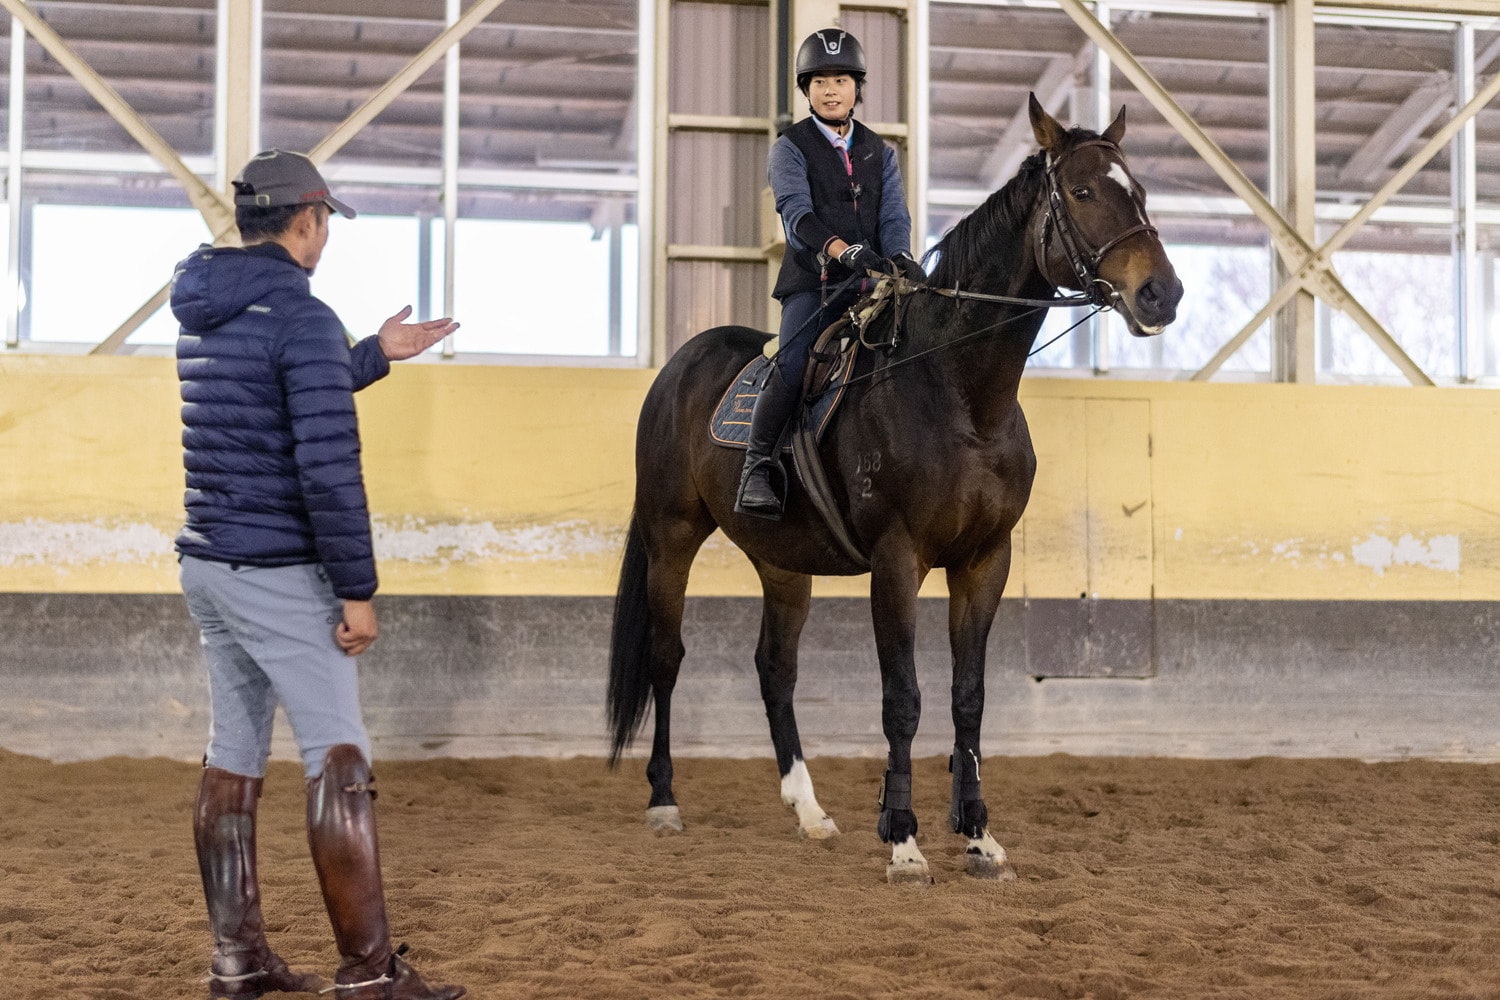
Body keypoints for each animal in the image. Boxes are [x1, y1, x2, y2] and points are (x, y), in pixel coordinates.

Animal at [606, 95, 1183, 883]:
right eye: (1084, 191)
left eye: (1142, 191)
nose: (1162, 293)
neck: (962, 395)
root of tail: (680, 365)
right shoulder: (897, 561)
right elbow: (902, 698)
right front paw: (904, 840)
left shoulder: (984, 562)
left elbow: (968, 698)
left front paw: (978, 834)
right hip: (672, 537)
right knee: (666, 660)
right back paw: (664, 800)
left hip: (782, 563)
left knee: (775, 670)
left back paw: (810, 812)